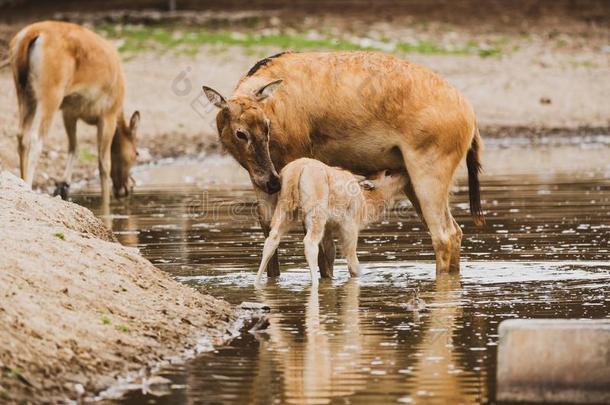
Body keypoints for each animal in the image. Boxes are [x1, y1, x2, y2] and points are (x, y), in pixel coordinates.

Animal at [9, 20, 138, 200]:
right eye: (136, 153)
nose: (127, 188)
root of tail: (31, 34)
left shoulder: (69, 112)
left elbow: (74, 147)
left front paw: (63, 186)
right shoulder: (108, 114)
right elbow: (103, 162)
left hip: (23, 92)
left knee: (21, 135)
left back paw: (21, 181)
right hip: (51, 92)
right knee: (35, 139)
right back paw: (28, 185)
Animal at [254, 156, 406, 286]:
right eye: (388, 172)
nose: (404, 173)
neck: (366, 202)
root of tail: (297, 169)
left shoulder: (328, 227)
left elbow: (330, 252)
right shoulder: (349, 226)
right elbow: (351, 260)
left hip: (285, 209)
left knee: (271, 240)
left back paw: (257, 282)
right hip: (316, 213)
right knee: (310, 243)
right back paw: (315, 283)